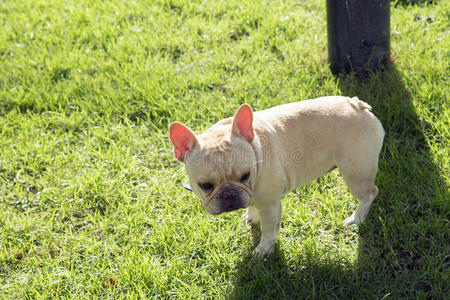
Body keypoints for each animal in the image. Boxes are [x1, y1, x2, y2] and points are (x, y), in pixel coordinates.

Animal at [169, 96, 384, 255]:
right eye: (205, 185)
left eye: (245, 175)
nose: (229, 193)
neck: (255, 149)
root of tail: (358, 105)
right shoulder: (251, 194)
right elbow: (252, 205)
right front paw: (250, 217)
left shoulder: (270, 206)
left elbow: (269, 230)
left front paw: (263, 250)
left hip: (355, 172)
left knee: (369, 194)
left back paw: (357, 219)